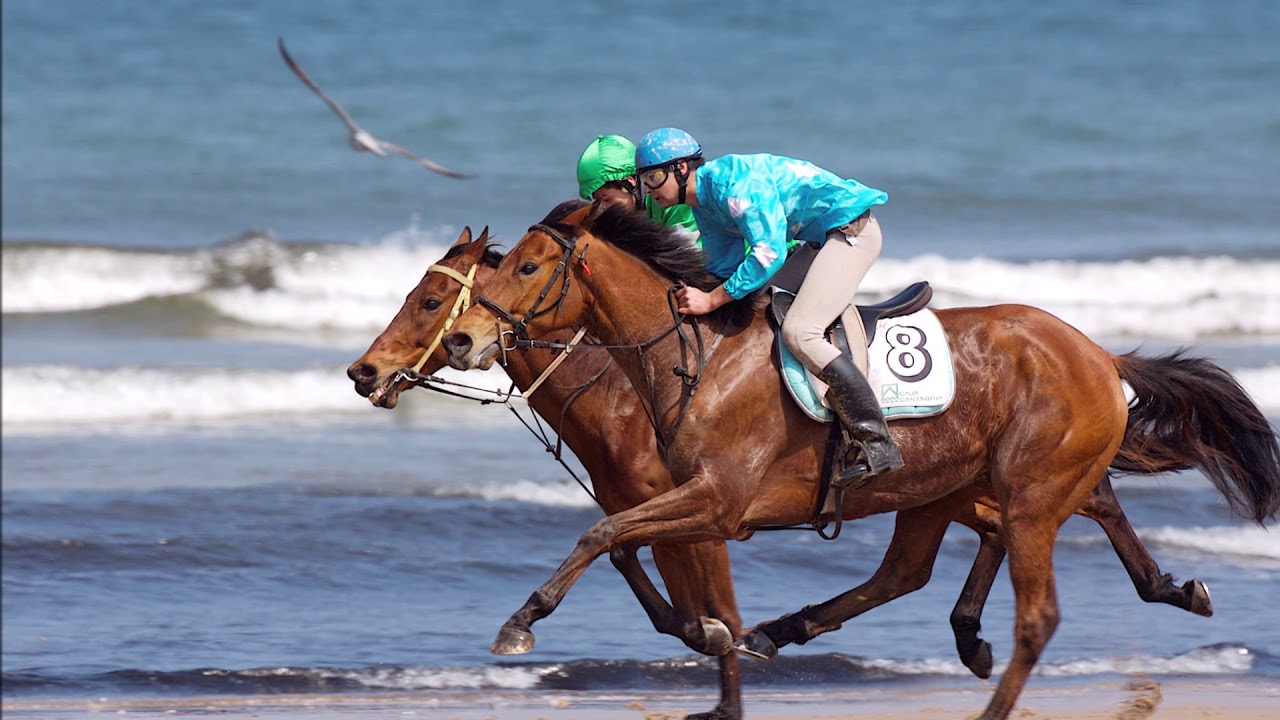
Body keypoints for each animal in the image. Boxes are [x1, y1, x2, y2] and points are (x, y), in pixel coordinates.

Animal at [437, 201, 1280, 720]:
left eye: (525, 268)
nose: (462, 341)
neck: (697, 356)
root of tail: (1100, 354)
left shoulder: (719, 502)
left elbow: (601, 535)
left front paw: (521, 621)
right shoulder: (698, 504)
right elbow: (635, 555)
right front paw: (712, 643)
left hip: (1031, 490)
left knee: (1035, 610)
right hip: (948, 487)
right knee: (913, 571)